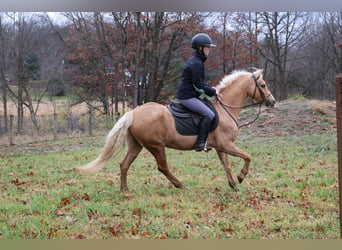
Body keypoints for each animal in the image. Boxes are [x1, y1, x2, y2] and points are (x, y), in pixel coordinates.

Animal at [77, 68, 276, 191]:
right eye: (263, 85)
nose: (272, 101)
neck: (225, 110)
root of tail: (133, 112)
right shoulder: (226, 145)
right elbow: (247, 157)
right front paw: (241, 177)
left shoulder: (221, 147)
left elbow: (226, 165)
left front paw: (233, 185)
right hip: (157, 146)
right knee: (162, 167)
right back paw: (180, 185)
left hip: (136, 146)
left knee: (124, 164)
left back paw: (124, 189)